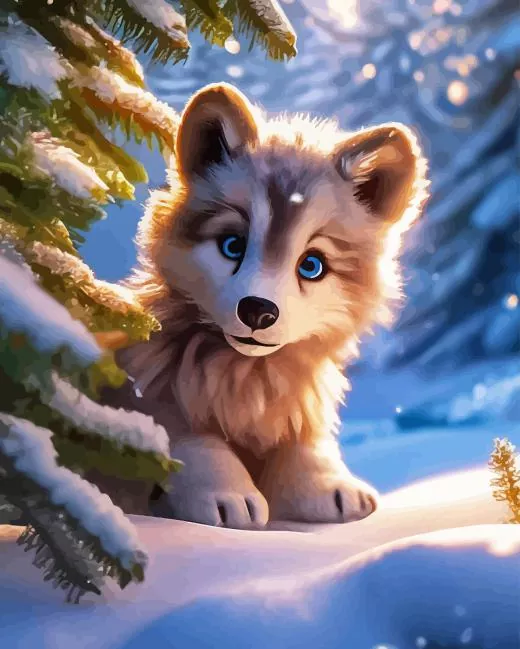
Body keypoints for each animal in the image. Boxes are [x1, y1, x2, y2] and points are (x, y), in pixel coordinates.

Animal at [96, 82, 429, 529]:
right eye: (232, 245)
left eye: (311, 265)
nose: (257, 310)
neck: (249, 379)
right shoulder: (150, 391)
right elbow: (188, 441)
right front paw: (227, 492)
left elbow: (303, 442)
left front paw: (326, 486)